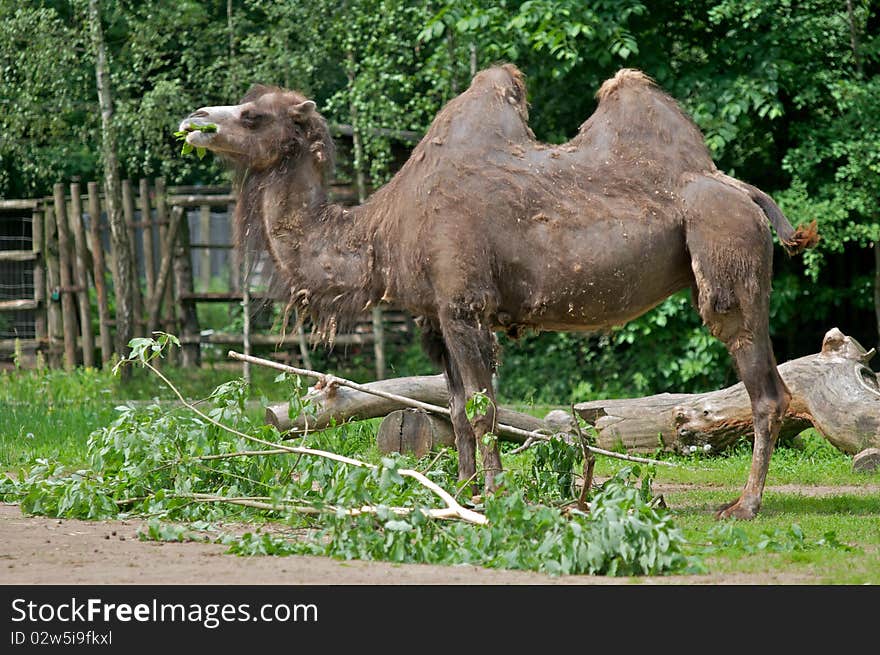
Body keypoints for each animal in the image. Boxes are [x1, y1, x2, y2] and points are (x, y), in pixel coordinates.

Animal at [179, 64, 820, 520]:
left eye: (254, 115)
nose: (194, 120)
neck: (381, 233)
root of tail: (744, 191)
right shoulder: (434, 316)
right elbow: (457, 409)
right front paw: (460, 492)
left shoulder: (465, 306)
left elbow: (483, 409)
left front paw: (492, 495)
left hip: (726, 254)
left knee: (765, 387)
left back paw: (744, 506)